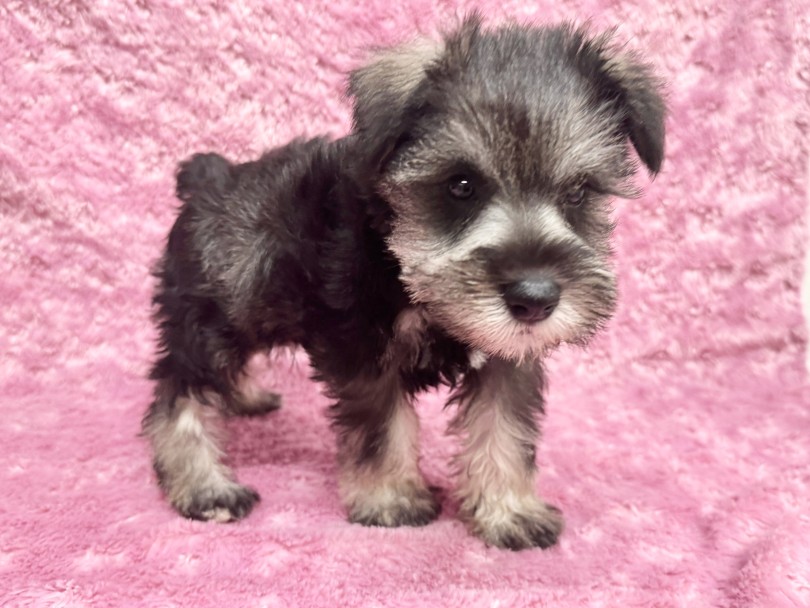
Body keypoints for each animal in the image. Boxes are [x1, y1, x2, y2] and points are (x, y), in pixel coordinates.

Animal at [143, 14, 665, 550]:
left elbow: (504, 429)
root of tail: (210, 178)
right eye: (460, 184)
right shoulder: (362, 347)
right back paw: (205, 488)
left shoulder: (507, 357)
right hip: (211, 320)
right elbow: (382, 428)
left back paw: (245, 398)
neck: (397, 255)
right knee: (178, 397)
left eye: (579, 191)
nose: (535, 299)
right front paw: (390, 499)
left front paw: (509, 510)